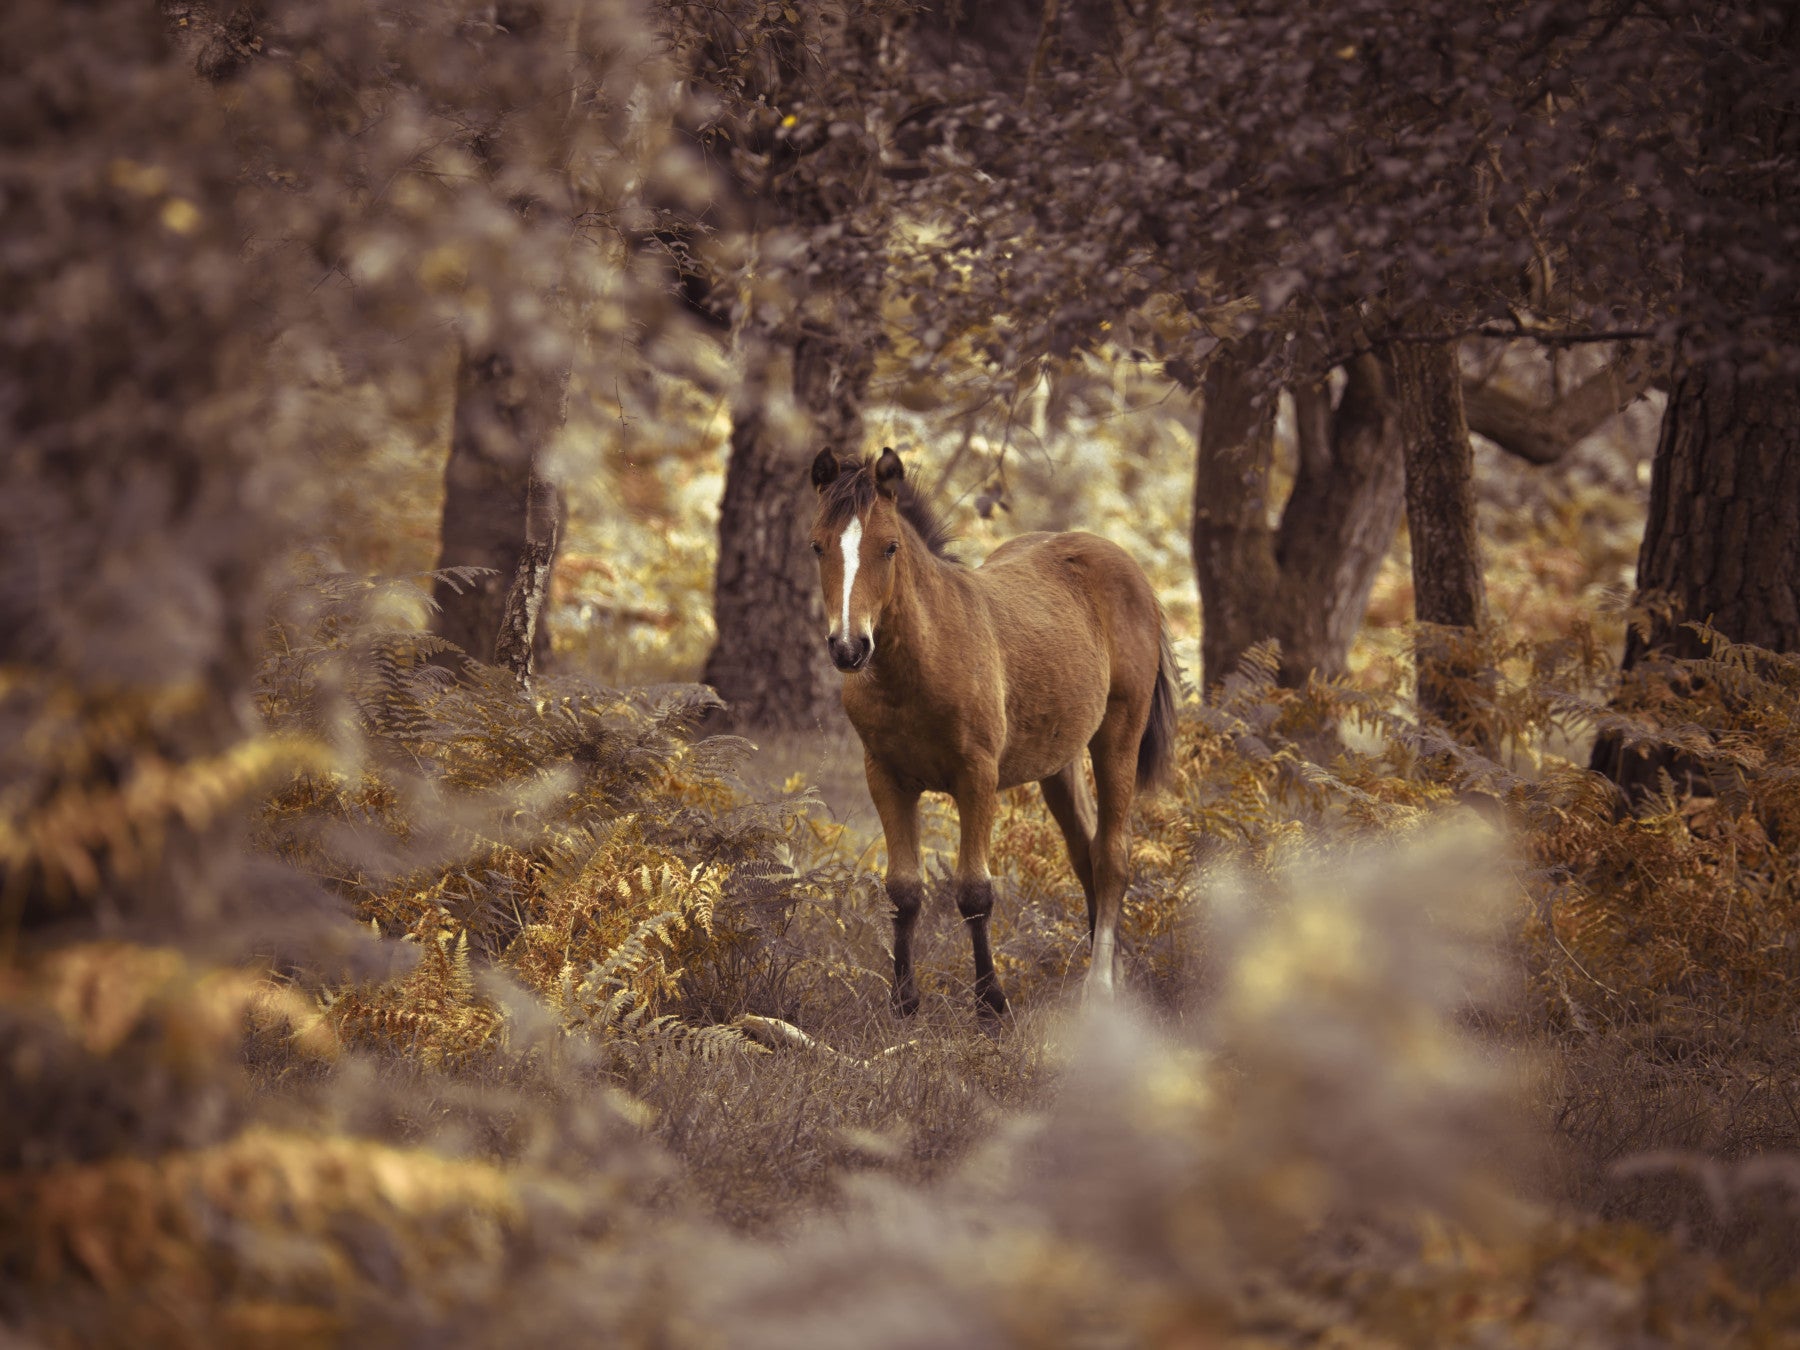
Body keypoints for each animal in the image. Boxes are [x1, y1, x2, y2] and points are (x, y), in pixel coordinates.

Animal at [808, 446, 1179, 1019]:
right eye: (817, 546)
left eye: (889, 547)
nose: (849, 648)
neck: (920, 663)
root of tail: (1125, 565)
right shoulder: (885, 778)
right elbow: (903, 890)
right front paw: (904, 1002)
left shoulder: (976, 777)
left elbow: (974, 892)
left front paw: (990, 1003)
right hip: (1059, 763)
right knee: (1085, 852)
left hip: (1119, 735)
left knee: (1112, 856)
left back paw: (1100, 988)